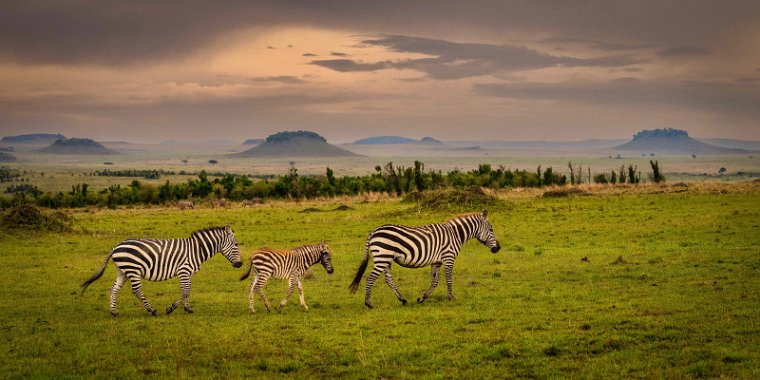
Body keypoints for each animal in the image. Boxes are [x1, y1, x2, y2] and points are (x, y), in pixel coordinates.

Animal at [80, 224, 242, 316]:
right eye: (236, 244)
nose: (240, 264)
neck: (196, 250)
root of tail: (115, 247)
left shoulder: (188, 273)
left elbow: (187, 291)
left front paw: (188, 309)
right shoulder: (183, 271)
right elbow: (185, 291)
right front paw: (171, 309)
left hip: (123, 272)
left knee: (114, 289)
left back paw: (113, 311)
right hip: (133, 270)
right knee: (136, 291)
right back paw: (152, 310)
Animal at [348, 211, 498, 308]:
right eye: (491, 229)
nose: (498, 248)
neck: (455, 234)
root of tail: (373, 232)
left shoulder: (437, 262)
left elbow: (435, 281)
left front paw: (422, 298)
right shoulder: (448, 257)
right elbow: (449, 279)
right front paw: (452, 298)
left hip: (386, 259)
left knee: (388, 279)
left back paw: (403, 300)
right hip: (382, 257)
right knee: (370, 278)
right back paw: (369, 303)